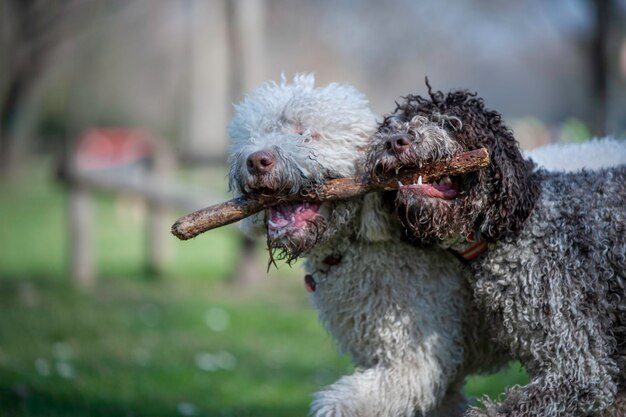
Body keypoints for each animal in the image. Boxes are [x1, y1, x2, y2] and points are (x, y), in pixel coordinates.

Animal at [225, 74, 624, 416]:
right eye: (254, 134)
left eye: (308, 134)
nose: (257, 159)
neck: (356, 246)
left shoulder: (417, 360)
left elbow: (343, 403)